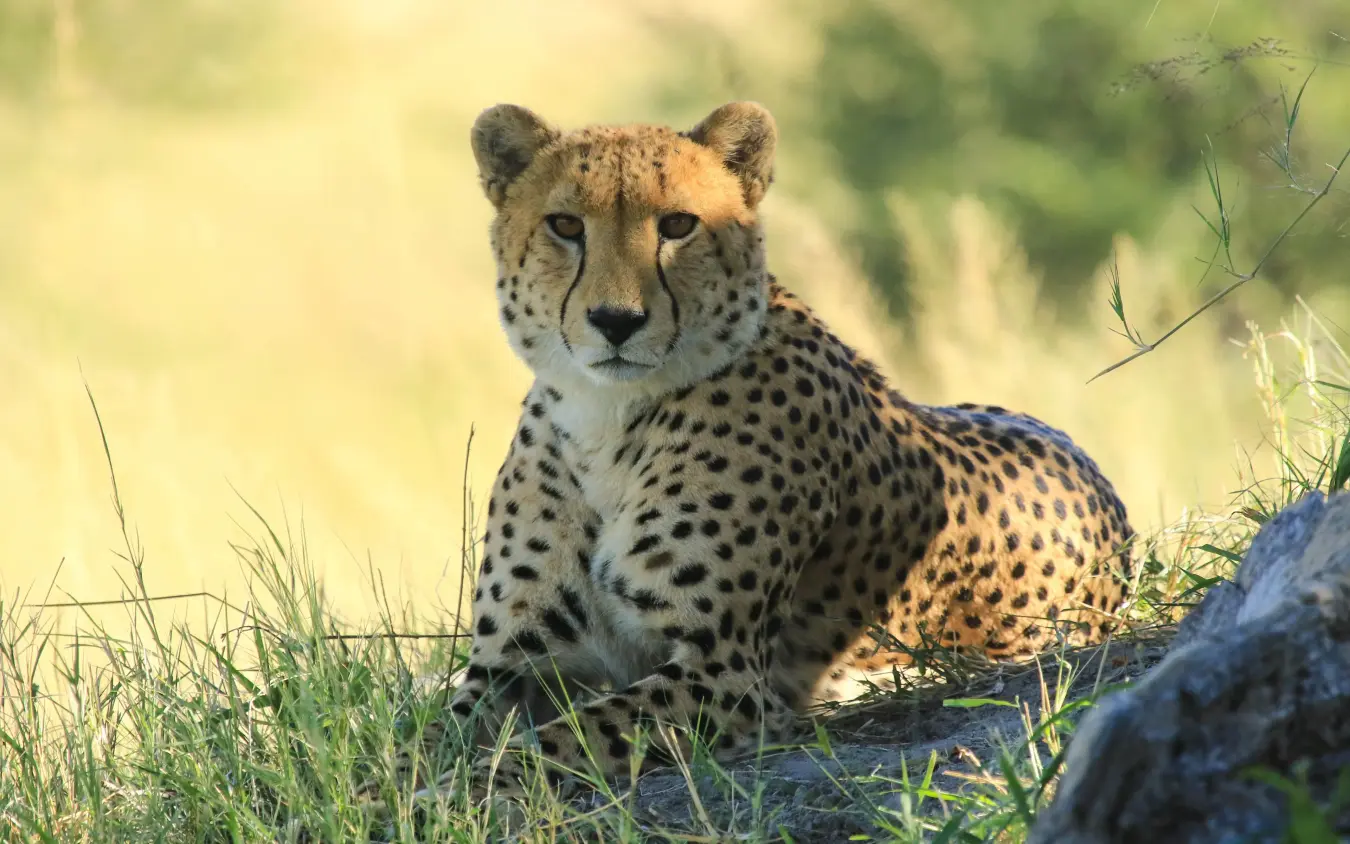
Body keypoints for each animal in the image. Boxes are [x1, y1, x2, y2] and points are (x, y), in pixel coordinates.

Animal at [363, 101, 1134, 807]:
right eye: (565, 226)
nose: (616, 320)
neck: (606, 417)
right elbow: (423, 738)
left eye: (677, 225)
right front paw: (386, 790)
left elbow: (552, 742)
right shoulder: (509, 665)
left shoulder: (723, 677)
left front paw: (440, 797)